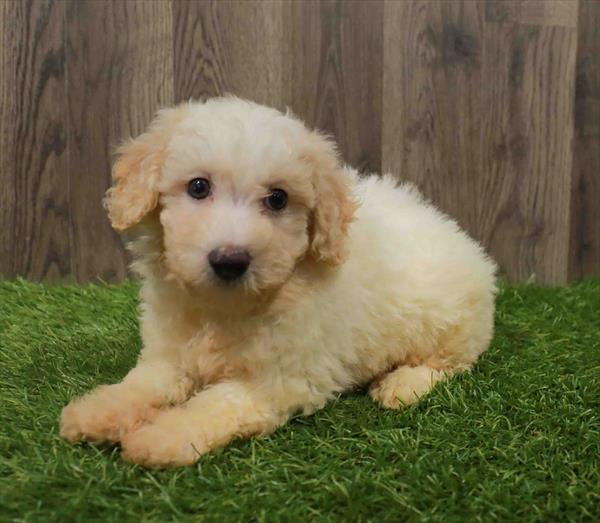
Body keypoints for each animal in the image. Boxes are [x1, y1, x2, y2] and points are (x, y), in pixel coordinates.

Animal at [59, 96, 496, 468]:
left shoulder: (279, 380)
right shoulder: (168, 355)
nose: (230, 260)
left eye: (278, 198)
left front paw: (162, 437)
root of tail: (464, 240)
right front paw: (97, 410)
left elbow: (214, 404)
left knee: (452, 363)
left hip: (449, 324)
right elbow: (144, 383)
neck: (224, 305)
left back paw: (403, 385)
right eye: (198, 187)